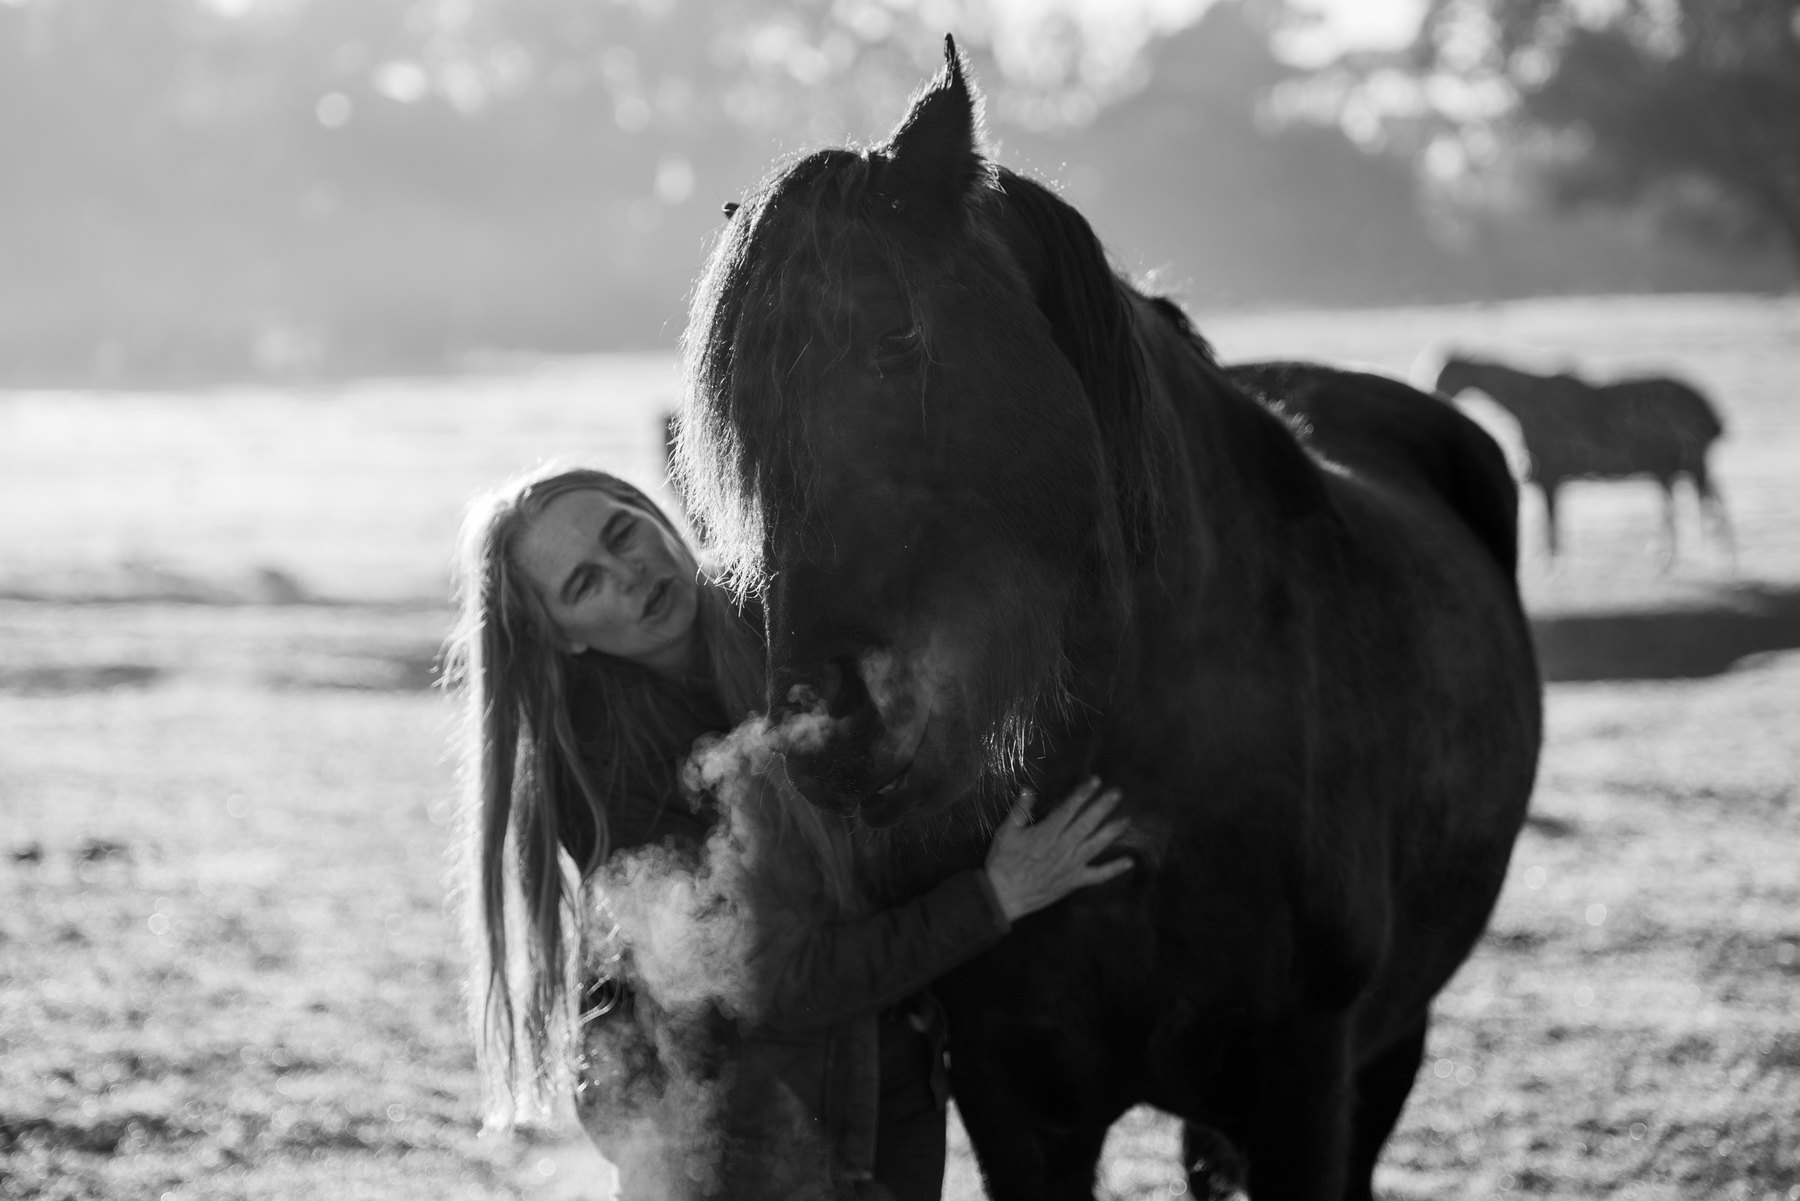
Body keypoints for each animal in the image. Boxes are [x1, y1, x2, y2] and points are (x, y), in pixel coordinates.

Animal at [674, 41, 1542, 1201]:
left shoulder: (1308, 1086)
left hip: (1395, 1044)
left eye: (896, 337)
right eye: (730, 431)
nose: (826, 729)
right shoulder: (1015, 1103)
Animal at [1434, 353, 1734, 567]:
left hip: (1685, 468)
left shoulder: (1549, 479)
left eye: (1444, 374)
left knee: (1704, 505)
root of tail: (1706, 409)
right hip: (1676, 470)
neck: (1528, 405)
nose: (1436, 395)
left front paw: (1550, 566)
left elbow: (1552, 527)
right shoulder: (1548, 480)